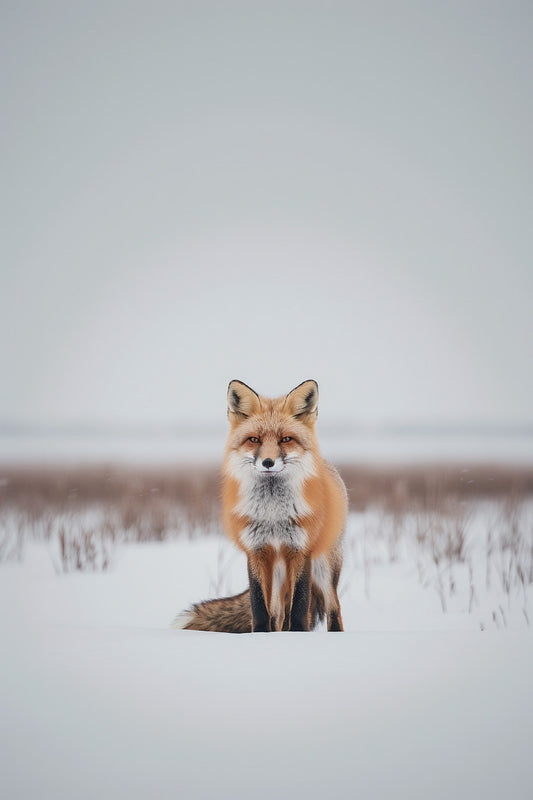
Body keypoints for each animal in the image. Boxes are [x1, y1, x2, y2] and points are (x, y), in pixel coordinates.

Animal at [173, 379, 347, 632]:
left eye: (286, 439)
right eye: (254, 440)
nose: (268, 462)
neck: (273, 514)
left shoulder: (300, 550)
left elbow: (300, 604)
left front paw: (298, 634)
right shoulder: (256, 551)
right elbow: (258, 606)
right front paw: (261, 635)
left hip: (324, 567)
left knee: (334, 607)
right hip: (277, 575)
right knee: (278, 613)